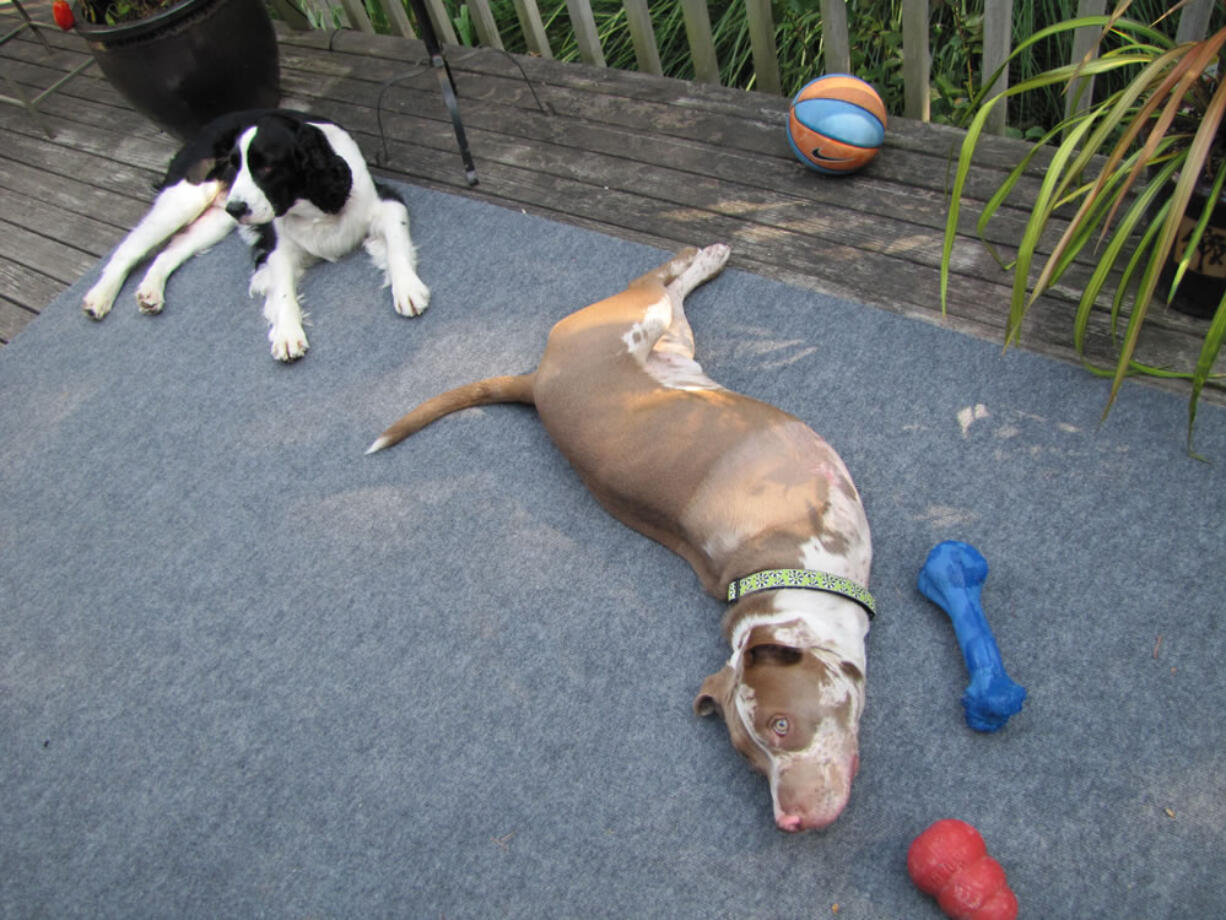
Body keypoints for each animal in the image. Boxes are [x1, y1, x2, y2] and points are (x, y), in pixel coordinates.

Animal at [81, 109, 426, 363]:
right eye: (235, 166)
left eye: (267, 167)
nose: (237, 207)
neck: (311, 203)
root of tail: (204, 127)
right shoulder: (275, 247)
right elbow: (282, 288)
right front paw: (287, 334)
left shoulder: (387, 203)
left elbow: (396, 247)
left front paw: (408, 290)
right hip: (187, 197)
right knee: (129, 249)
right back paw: (99, 297)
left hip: (216, 220)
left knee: (170, 251)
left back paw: (150, 292)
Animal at [367, 245, 877, 834]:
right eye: (751, 758)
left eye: (780, 726)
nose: (787, 820)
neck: (783, 566)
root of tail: (534, 380)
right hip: (648, 322)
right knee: (657, 282)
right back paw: (706, 254)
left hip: (660, 334)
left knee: (660, 286)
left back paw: (705, 256)